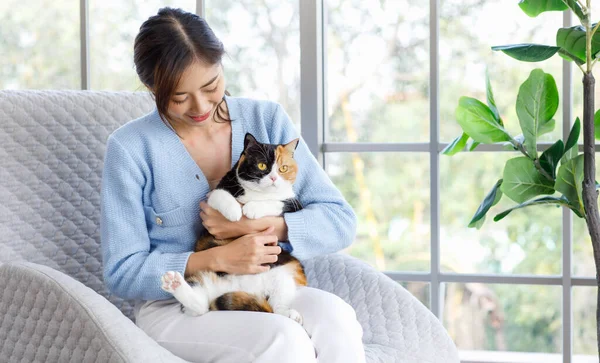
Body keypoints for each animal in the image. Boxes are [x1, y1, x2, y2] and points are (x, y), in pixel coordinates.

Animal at [162, 133, 308, 324]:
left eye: (283, 168)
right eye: (262, 165)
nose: (274, 178)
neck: (258, 194)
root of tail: (241, 288)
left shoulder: (294, 204)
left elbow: (275, 202)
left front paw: (252, 209)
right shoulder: (215, 195)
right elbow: (221, 195)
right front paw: (234, 213)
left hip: (284, 276)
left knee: (276, 308)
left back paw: (290, 314)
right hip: (204, 277)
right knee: (200, 305)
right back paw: (174, 283)